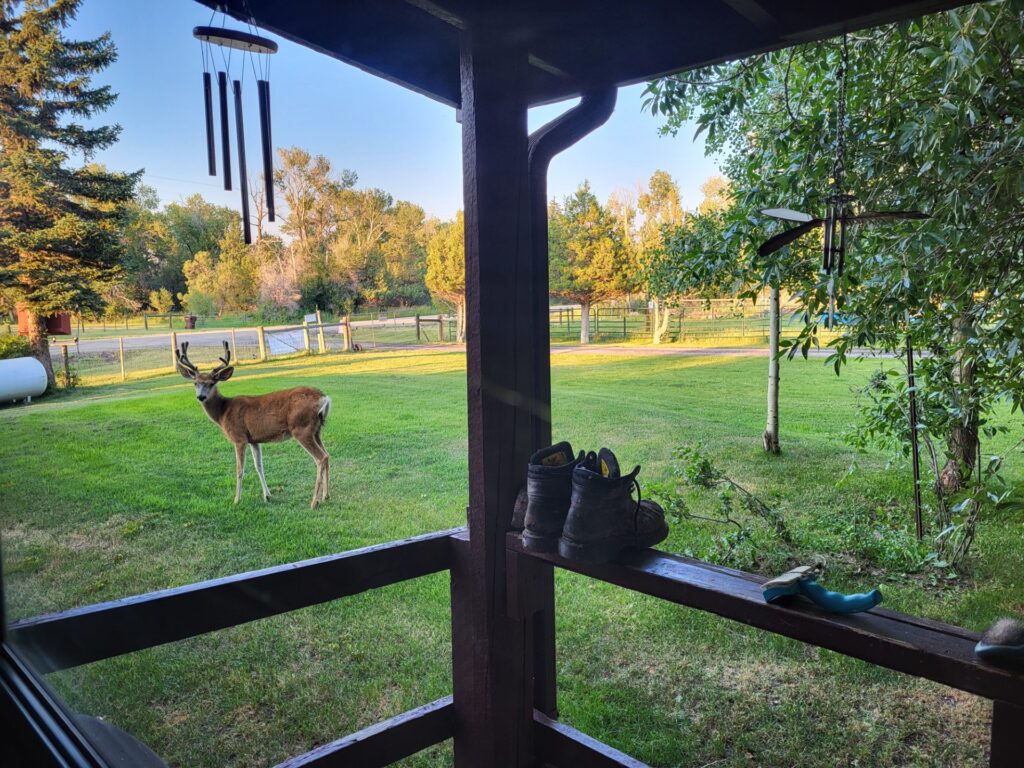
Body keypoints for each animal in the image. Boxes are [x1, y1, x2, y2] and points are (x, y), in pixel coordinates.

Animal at [175, 341, 331, 507]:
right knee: (327, 455)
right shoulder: (254, 440)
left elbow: (239, 469)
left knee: (320, 458)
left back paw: (314, 501)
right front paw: (267, 496)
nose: (201, 396)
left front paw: (236, 499)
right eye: (195, 383)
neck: (223, 412)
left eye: (211, 383)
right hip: (316, 430)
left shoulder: (239, 437)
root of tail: (324, 398)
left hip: (301, 428)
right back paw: (325, 496)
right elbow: (259, 466)